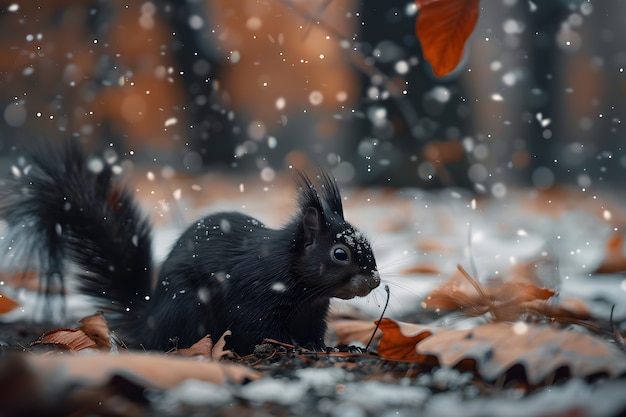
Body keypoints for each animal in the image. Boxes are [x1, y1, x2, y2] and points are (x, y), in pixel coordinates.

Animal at [0, 141, 380, 352]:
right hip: (189, 307)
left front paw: (325, 346)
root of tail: (151, 320)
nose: (375, 280)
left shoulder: (314, 312)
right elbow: (261, 330)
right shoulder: (256, 297)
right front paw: (297, 346)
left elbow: (313, 332)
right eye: (340, 253)